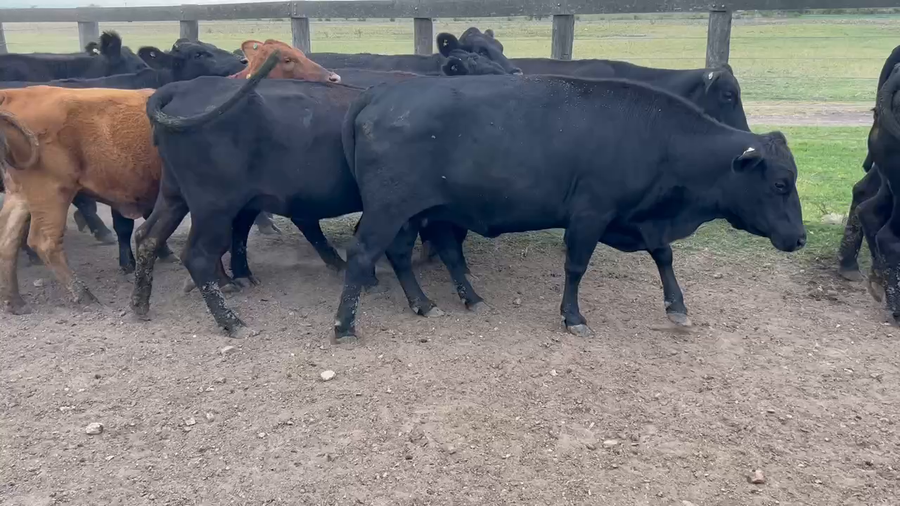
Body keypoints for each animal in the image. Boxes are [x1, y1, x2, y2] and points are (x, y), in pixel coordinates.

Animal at [333, 75, 807, 341]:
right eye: (781, 184)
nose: (800, 238)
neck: (659, 139)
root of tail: (379, 94)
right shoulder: (590, 214)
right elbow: (576, 266)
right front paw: (573, 316)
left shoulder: (638, 219)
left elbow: (664, 255)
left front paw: (677, 307)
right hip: (389, 209)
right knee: (362, 254)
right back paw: (344, 325)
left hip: (417, 212)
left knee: (405, 254)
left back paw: (432, 302)